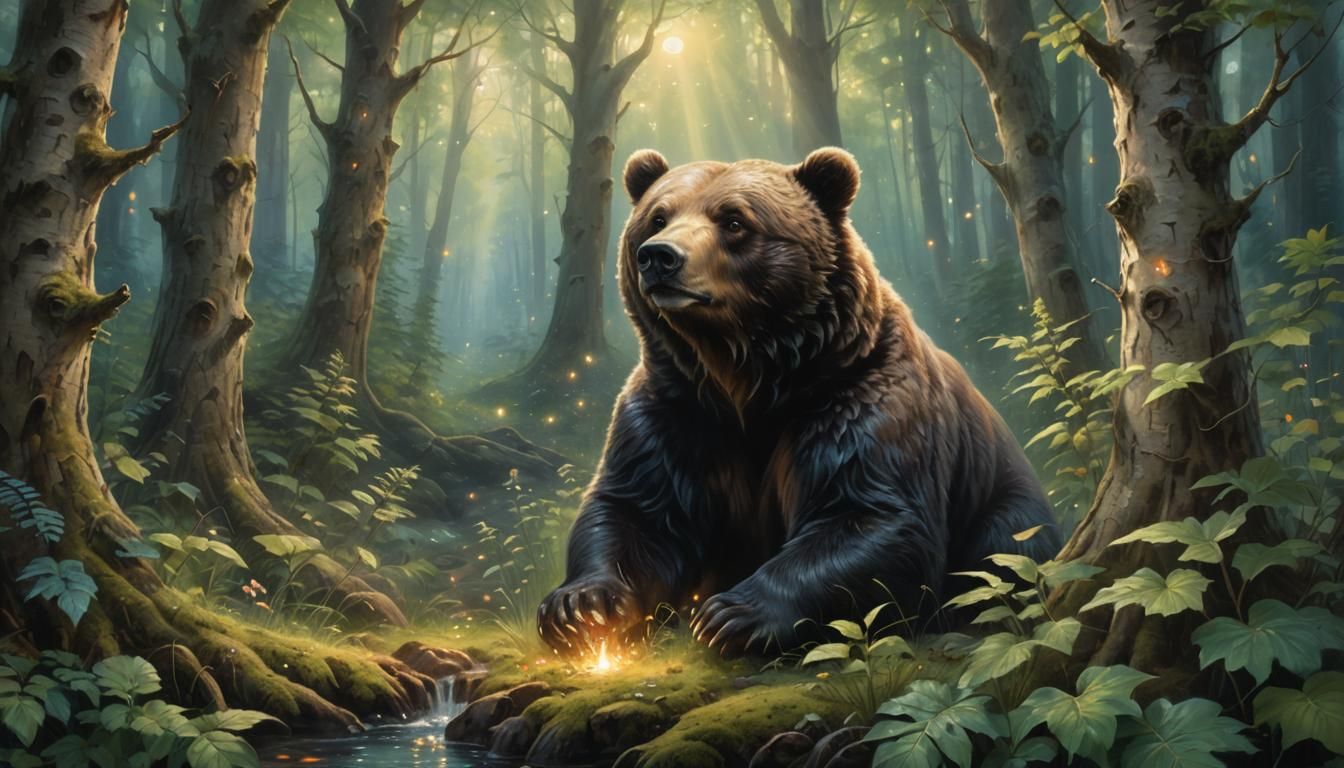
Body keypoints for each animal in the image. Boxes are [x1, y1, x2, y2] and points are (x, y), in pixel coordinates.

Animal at [537, 147, 1061, 657]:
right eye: (658, 217)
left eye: (734, 220)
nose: (660, 257)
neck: (747, 379)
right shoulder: (676, 412)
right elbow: (634, 510)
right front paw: (578, 605)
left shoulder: (858, 401)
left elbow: (869, 516)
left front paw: (730, 614)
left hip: (1005, 509)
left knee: (1004, 558)